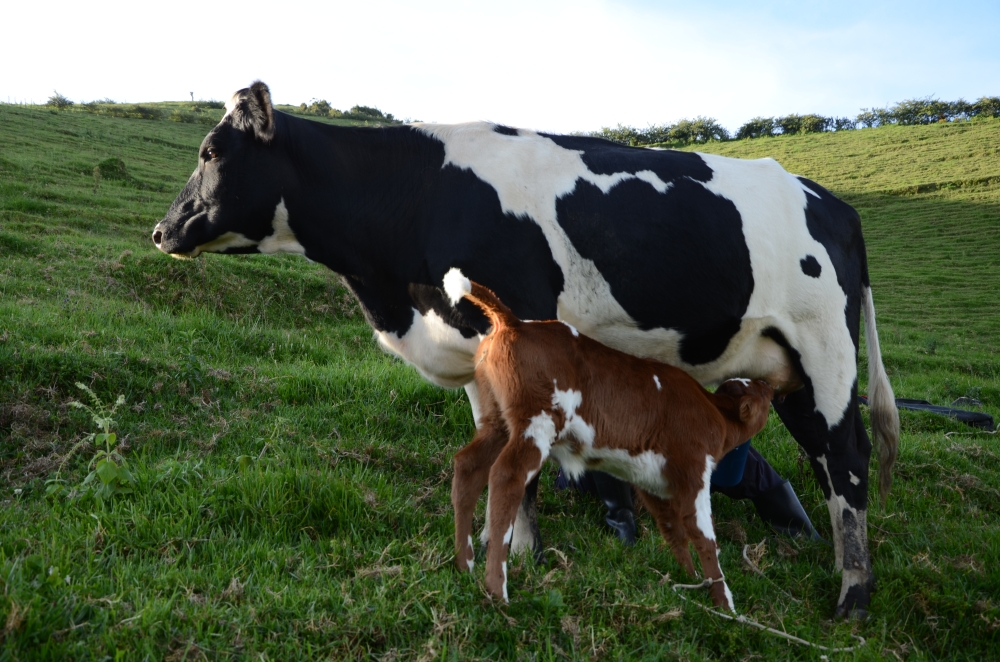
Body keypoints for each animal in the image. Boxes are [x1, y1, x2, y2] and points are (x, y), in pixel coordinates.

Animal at [446, 270, 772, 612]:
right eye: (761, 393)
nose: (769, 384)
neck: (713, 411)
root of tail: (515, 322)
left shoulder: (652, 482)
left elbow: (673, 530)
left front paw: (690, 578)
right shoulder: (693, 471)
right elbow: (704, 538)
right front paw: (725, 604)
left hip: (497, 421)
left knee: (468, 467)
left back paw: (465, 565)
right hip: (537, 424)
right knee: (506, 476)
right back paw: (497, 590)